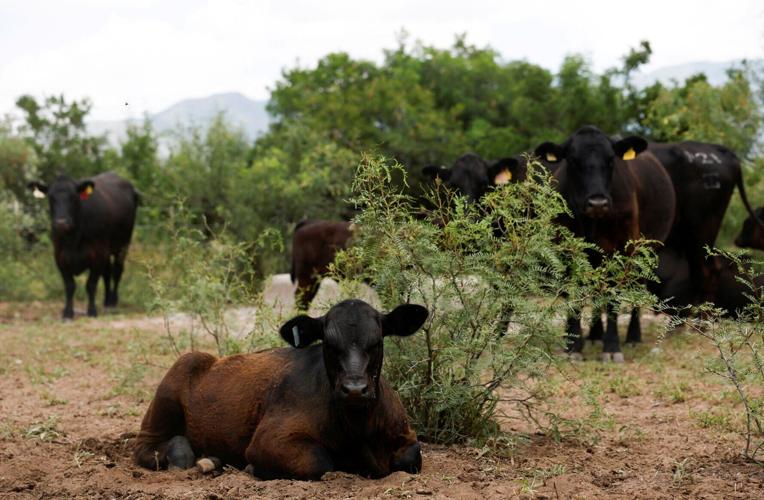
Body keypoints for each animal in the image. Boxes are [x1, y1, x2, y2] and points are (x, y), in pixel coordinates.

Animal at [27, 172, 138, 319]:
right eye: (51, 197)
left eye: (74, 197)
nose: (61, 223)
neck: (74, 238)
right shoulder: (60, 257)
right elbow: (70, 286)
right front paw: (67, 312)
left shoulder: (98, 254)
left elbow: (91, 284)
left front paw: (92, 311)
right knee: (107, 273)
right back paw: (107, 300)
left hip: (122, 245)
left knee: (116, 271)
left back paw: (113, 301)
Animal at [133, 299, 428, 480]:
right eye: (329, 344)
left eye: (377, 341)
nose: (355, 389)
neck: (359, 431)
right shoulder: (269, 439)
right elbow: (319, 461)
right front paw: (254, 469)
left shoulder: (405, 435)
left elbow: (412, 457)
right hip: (171, 389)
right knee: (149, 447)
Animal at [535, 125, 676, 361]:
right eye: (572, 160)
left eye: (611, 160)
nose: (597, 202)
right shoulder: (567, 250)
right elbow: (575, 293)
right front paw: (573, 344)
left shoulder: (622, 249)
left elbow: (613, 299)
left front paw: (611, 347)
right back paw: (594, 334)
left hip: (644, 253)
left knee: (636, 288)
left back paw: (632, 337)